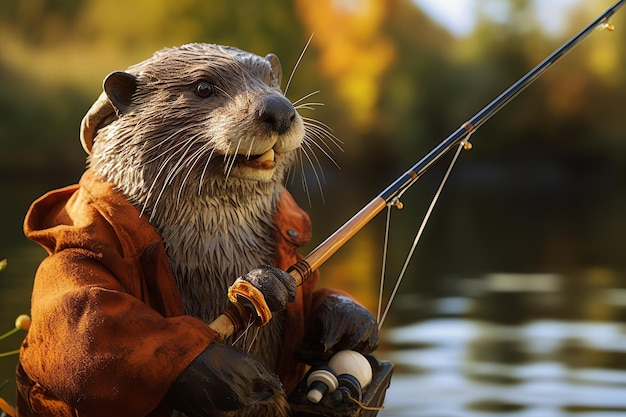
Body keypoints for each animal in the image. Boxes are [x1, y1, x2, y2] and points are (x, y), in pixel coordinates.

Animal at [17, 43, 376, 416]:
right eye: (203, 87)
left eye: (271, 81)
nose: (279, 110)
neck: (215, 250)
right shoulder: (80, 248)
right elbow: (83, 325)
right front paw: (229, 373)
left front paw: (348, 320)